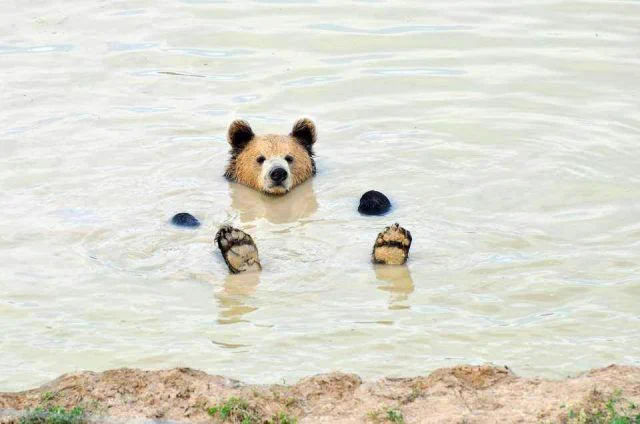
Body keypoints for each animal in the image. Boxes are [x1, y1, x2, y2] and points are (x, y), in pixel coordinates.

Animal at [217, 118, 412, 273]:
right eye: (260, 158)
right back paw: (238, 248)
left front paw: (373, 202)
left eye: (289, 157)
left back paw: (392, 244)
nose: (278, 173)